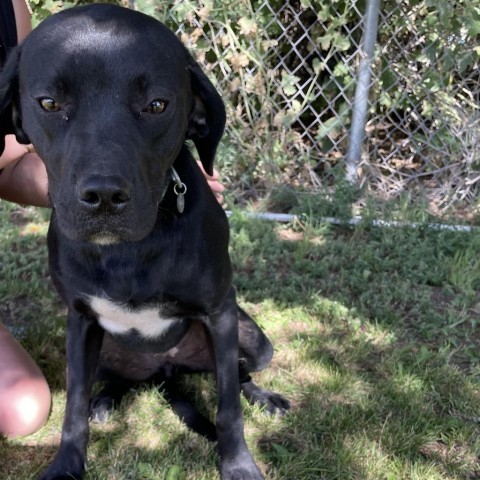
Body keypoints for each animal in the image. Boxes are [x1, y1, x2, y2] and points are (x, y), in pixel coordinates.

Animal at [0, 4, 288, 480]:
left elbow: (228, 406)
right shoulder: (79, 322)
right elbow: (72, 407)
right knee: (111, 383)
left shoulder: (220, 313)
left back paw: (265, 398)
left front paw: (239, 466)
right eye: (49, 103)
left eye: (156, 105)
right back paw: (105, 400)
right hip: (104, 351)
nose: (103, 197)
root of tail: (164, 368)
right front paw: (66, 464)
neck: (128, 252)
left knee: (242, 375)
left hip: (252, 340)